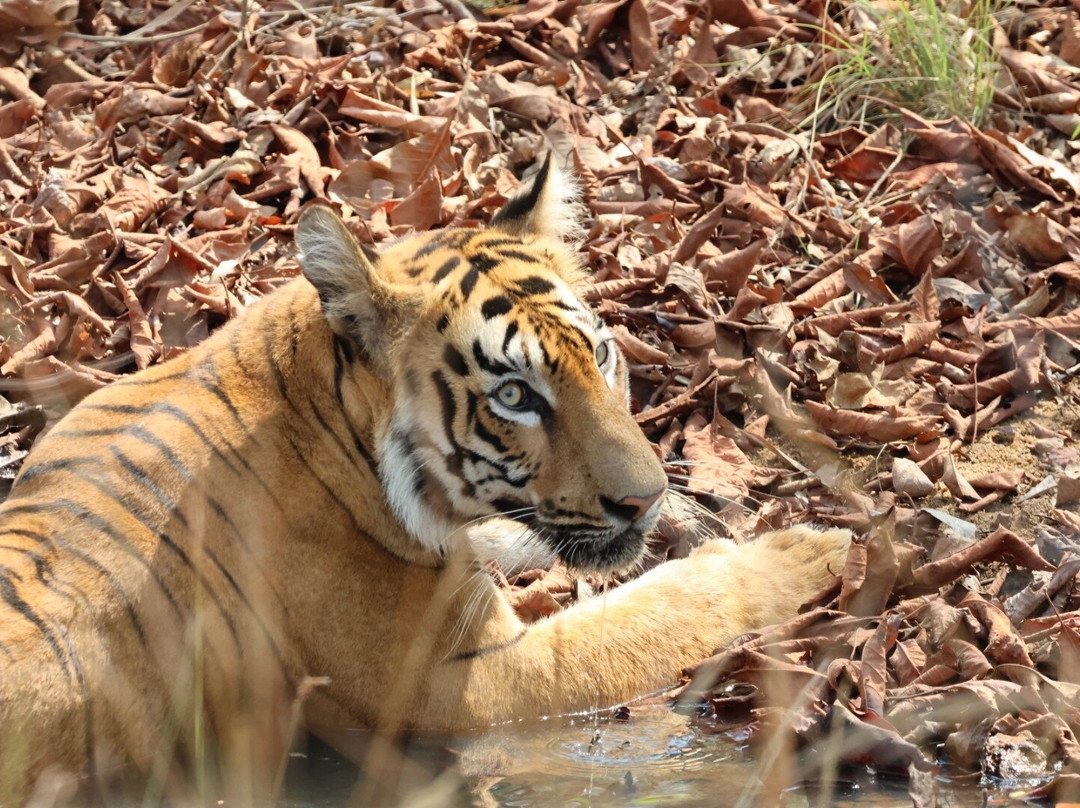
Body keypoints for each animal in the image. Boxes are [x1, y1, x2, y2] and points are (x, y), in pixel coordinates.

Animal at [0, 156, 851, 802]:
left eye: (601, 356)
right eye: (515, 396)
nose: (642, 500)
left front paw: (688, 519)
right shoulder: (468, 686)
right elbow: (654, 614)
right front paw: (806, 550)